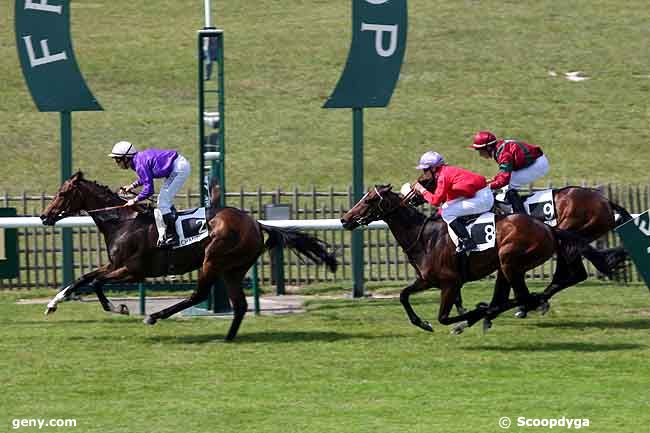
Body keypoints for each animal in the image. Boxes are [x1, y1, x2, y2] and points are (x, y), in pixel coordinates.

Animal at [40, 170, 336, 340]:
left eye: (63, 193)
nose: (44, 216)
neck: (123, 221)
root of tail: (256, 223)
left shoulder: (131, 270)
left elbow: (96, 283)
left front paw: (119, 308)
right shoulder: (114, 264)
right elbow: (83, 278)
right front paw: (53, 303)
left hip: (213, 260)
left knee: (199, 295)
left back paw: (154, 316)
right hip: (233, 269)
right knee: (239, 305)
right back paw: (227, 338)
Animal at [340, 184, 616, 332]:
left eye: (370, 199)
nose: (345, 219)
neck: (424, 236)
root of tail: (548, 228)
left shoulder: (450, 282)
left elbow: (445, 316)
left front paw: (468, 315)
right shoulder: (427, 280)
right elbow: (403, 295)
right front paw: (422, 322)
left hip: (510, 260)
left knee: (526, 295)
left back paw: (501, 310)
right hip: (508, 266)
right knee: (525, 293)